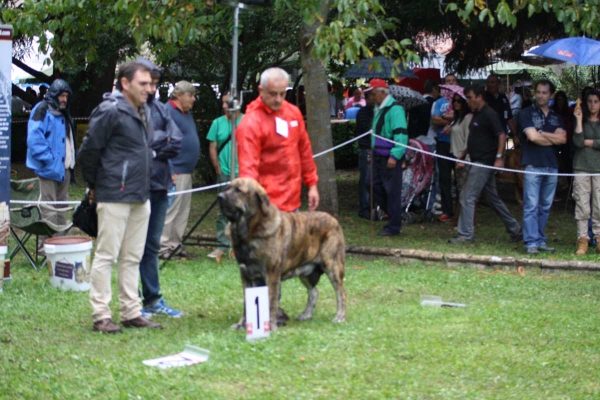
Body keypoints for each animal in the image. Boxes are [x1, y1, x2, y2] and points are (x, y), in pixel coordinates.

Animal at [218, 178, 346, 332]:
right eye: (227, 188)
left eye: (238, 190)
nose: (219, 196)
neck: (250, 232)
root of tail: (334, 220)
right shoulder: (246, 275)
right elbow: (246, 303)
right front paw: (242, 324)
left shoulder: (271, 274)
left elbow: (271, 301)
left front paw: (270, 326)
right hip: (305, 270)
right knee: (314, 292)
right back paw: (306, 314)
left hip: (332, 266)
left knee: (341, 293)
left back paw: (340, 316)